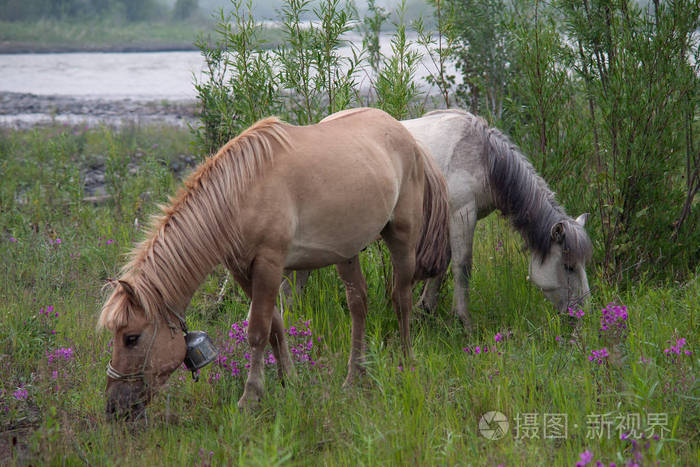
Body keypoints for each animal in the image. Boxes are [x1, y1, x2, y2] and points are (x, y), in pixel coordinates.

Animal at [97, 107, 450, 419]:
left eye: (131, 338)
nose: (114, 407)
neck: (241, 193)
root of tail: (405, 133)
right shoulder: (242, 270)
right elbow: (276, 325)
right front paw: (288, 380)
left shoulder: (269, 264)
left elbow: (257, 330)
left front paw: (251, 395)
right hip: (347, 252)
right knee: (358, 305)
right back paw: (354, 377)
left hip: (402, 238)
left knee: (401, 300)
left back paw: (407, 361)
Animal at [282, 109, 592, 330]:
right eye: (568, 266)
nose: (582, 315)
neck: (484, 157)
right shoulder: (462, 215)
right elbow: (462, 266)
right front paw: (463, 321)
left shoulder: (452, 220)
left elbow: (443, 265)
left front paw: (425, 310)